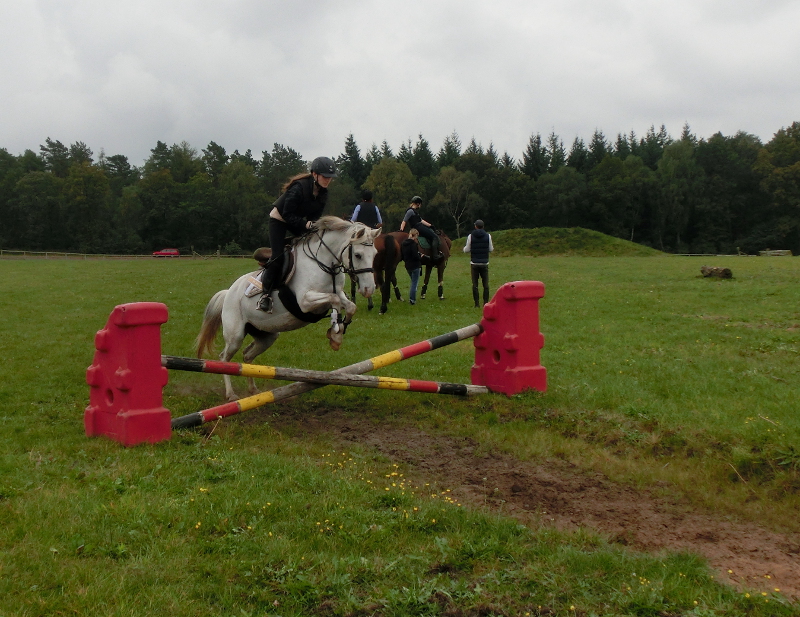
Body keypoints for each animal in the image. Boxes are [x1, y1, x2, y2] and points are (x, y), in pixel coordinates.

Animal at [196, 216, 381, 401]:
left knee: (247, 355)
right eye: (357, 255)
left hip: (266, 336)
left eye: (375, 254)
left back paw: (253, 390)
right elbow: (334, 301)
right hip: (235, 336)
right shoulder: (305, 302)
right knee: (224, 358)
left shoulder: (338, 293)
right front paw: (335, 330)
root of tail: (228, 293)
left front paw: (338, 333)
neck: (324, 263)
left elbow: (350, 306)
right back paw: (231, 394)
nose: (369, 289)